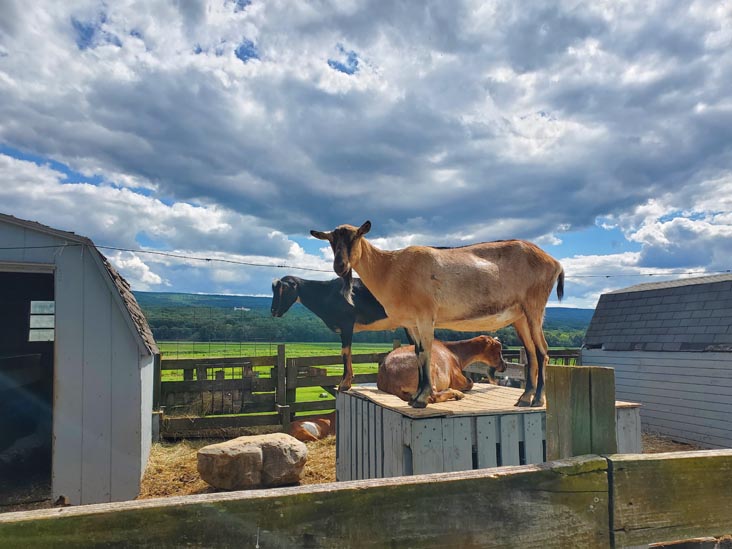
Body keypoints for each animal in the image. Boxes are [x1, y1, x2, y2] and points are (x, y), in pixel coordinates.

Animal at [271, 276, 411, 391]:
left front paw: (344, 383)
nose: (273, 311)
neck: (327, 293)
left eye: (285, 288)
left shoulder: (346, 324)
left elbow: (345, 352)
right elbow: (347, 352)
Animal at [377, 335, 507, 403]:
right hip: (430, 369)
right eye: (498, 351)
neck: (454, 353)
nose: (505, 365)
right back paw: (456, 393)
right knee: (432, 395)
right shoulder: (456, 376)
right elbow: (470, 382)